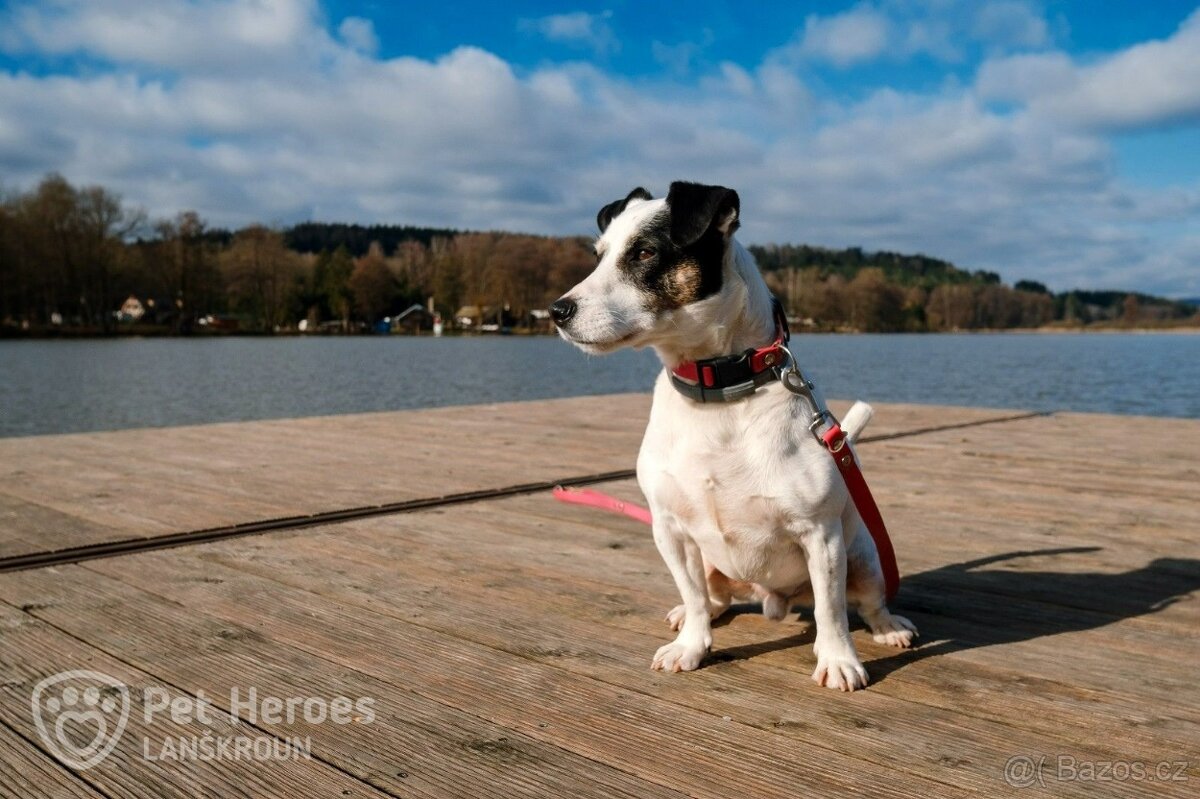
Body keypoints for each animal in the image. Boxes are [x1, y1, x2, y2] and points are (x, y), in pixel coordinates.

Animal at [552, 182, 916, 691]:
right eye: (599, 255)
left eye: (644, 252)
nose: (556, 310)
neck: (715, 392)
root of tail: (773, 598)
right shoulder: (670, 531)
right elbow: (694, 595)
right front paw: (691, 646)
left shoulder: (821, 537)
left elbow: (831, 611)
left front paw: (839, 660)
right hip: (713, 564)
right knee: (714, 599)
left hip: (862, 558)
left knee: (866, 601)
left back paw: (888, 628)